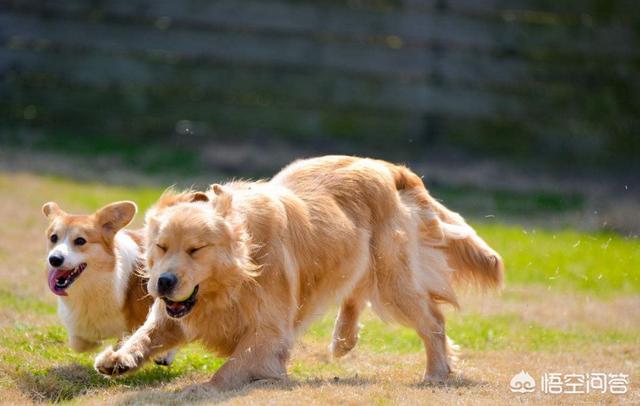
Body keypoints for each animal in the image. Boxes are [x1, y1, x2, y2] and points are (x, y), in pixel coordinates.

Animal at [96, 156, 504, 390]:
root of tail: (389, 168)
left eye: (196, 249)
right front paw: (118, 358)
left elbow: (230, 368)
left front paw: (205, 387)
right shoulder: (172, 316)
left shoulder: (270, 334)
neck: (239, 273)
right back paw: (343, 340)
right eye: (161, 247)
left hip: (393, 280)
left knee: (432, 320)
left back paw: (436, 372)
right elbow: (145, 334)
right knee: (356, 291)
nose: (163, 282)